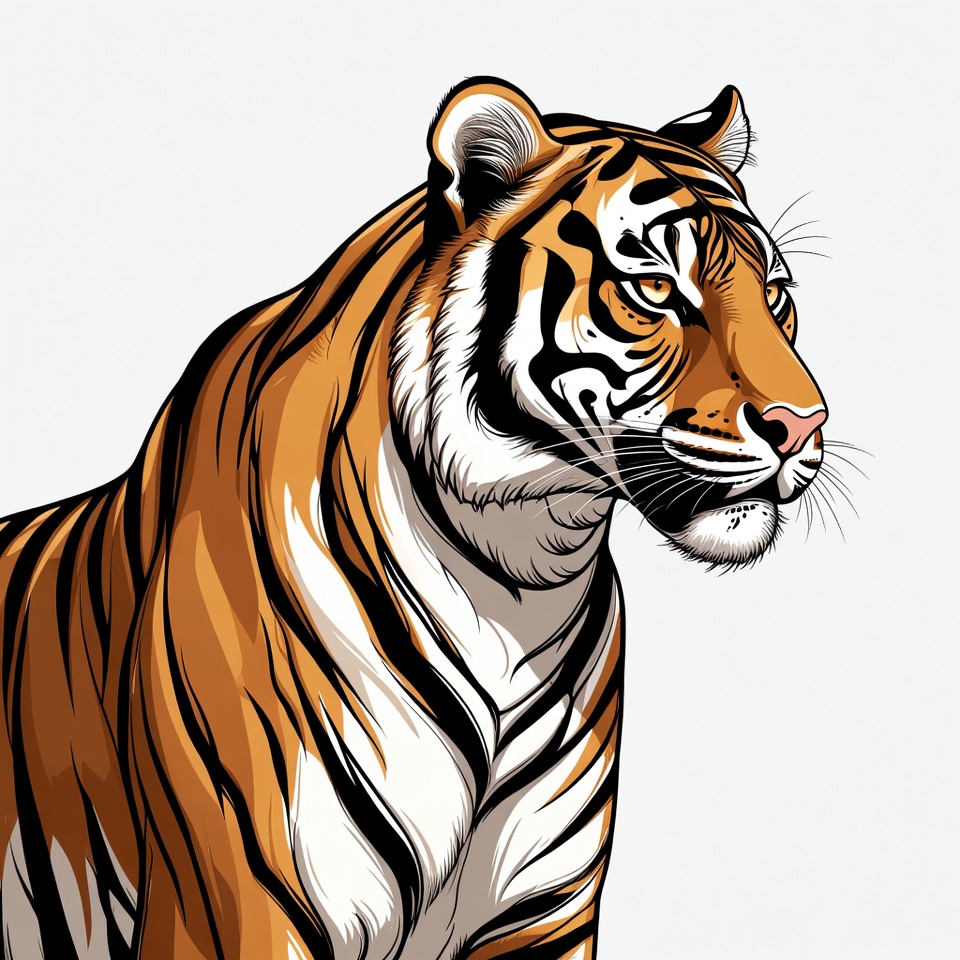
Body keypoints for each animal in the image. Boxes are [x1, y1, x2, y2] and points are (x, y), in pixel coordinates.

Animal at [0, 77, 827, 959]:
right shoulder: (237, 911)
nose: (804, 424)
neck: (519, 576)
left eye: (776, 296)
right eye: (657, 290)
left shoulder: (545, 919)